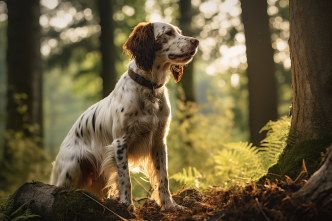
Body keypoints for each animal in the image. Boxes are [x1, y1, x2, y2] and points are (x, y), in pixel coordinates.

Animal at [50, 21, 198, 210]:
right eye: (168, 33)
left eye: (179, 32)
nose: (196, 41)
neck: (149, 87)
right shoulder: (120, 142)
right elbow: (125, 178)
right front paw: (127, 205)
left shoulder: (159, 142)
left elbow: (163, 177)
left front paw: (170, 206)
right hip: (72, 167)